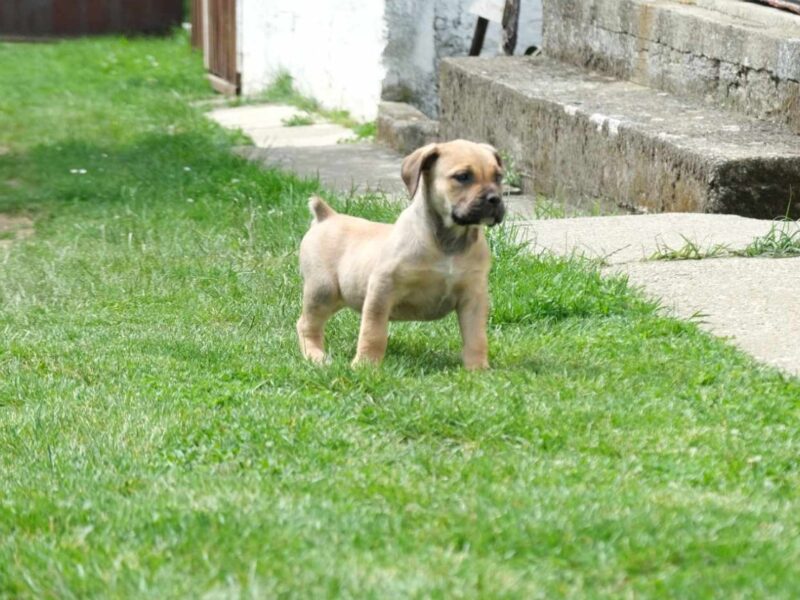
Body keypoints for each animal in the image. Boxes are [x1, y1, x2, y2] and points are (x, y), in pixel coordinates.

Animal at [296, 139, 504, 368]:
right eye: (463, 176)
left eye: (498, 177)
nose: (494, 199)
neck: (449, 242)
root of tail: (327, 216)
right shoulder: (382, 289)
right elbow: (373, 332)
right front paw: (365, 365)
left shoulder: (473, 297)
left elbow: (476, 337)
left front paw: (477, 368)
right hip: (323, 291)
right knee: (306, 324)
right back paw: (315, 355)